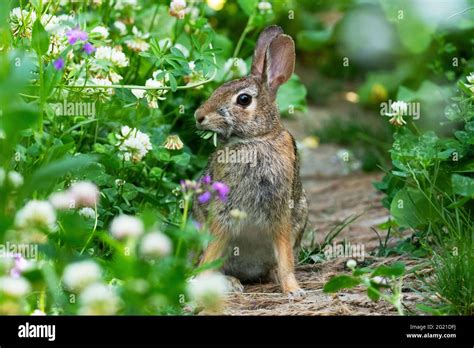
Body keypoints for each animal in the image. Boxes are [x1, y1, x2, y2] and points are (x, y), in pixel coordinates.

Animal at [193, 25, 308, 300]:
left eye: (243, 100)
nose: (198, 116)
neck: (255, 140)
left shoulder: (281, 213)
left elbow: (285, 257)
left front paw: (293, 290)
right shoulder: (223, 214)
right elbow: (211, 252)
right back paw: (231, 283)